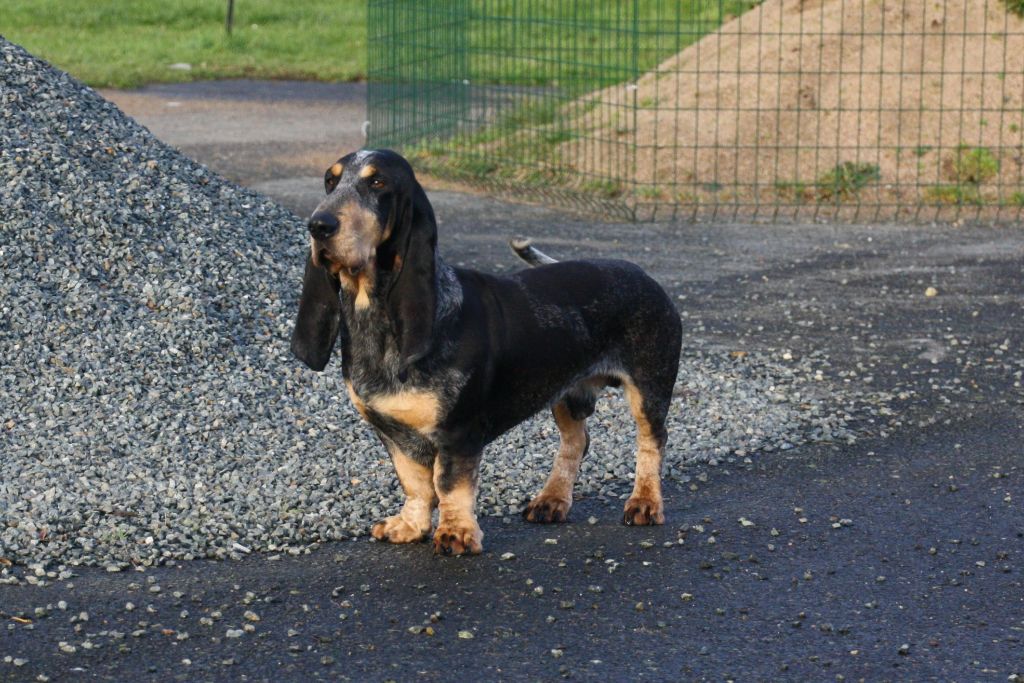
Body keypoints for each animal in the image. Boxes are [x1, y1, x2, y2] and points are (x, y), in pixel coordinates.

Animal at [292, 149, 684, 557]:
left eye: (378, 182)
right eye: (330, 181)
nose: (318, 226)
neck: (376, 315)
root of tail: (638, 271)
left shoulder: (459, 431)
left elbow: (450, 483)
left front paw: (456, 532)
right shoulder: (392, 433)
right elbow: (414, 482)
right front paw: (410, 526)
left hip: (649, 389)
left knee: (652, 441)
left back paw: (645, 503)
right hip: (566, 394)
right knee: (577, 442)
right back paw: (552, 500)